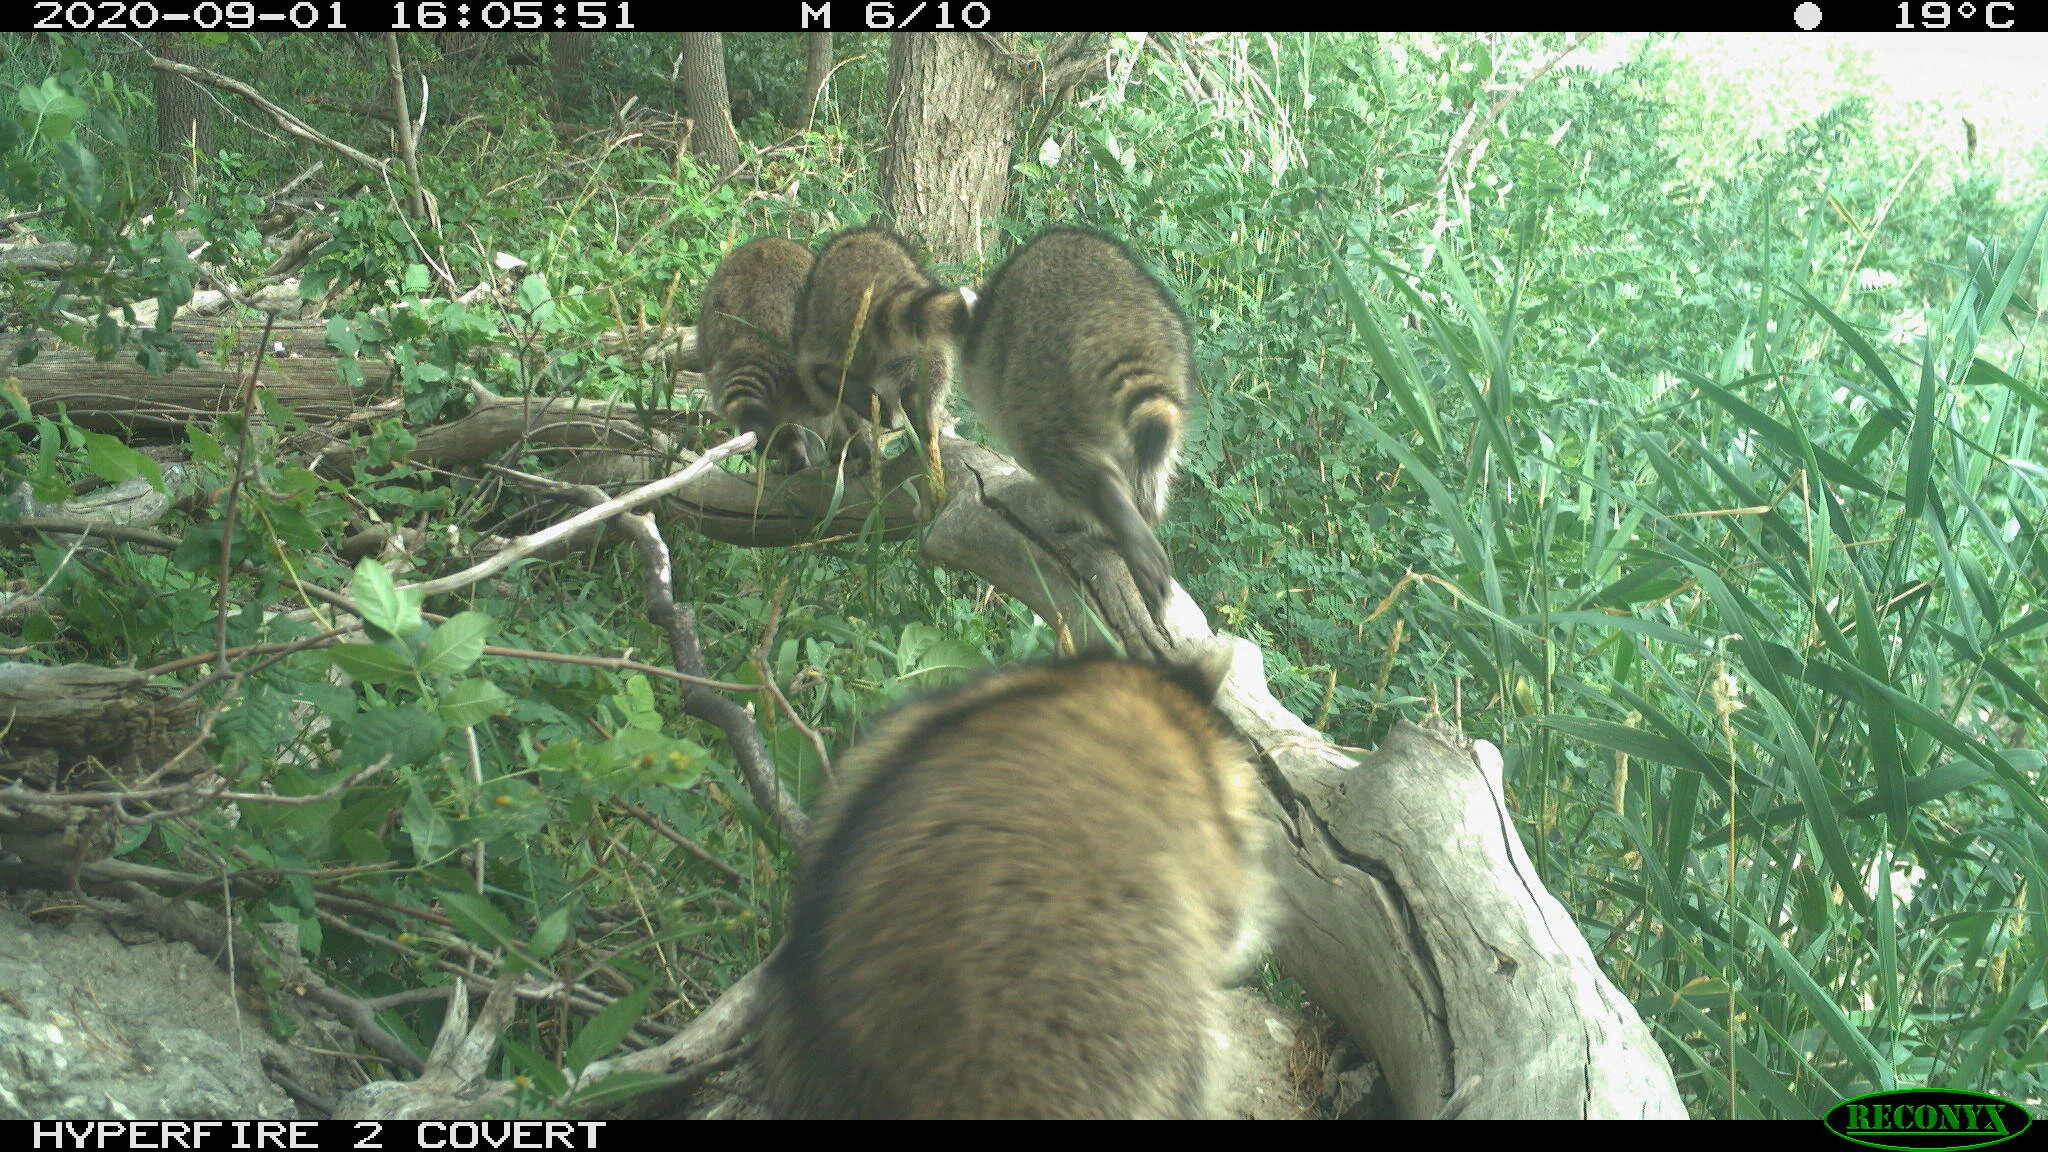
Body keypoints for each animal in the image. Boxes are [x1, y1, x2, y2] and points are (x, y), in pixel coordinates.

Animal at [961, 228, 1198, 620]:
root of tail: (1116, 325)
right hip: (1172, 354)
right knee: (1149, 466)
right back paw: (1141, 511)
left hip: (1036, 375)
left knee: (1052, 454)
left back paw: (1108, 504)